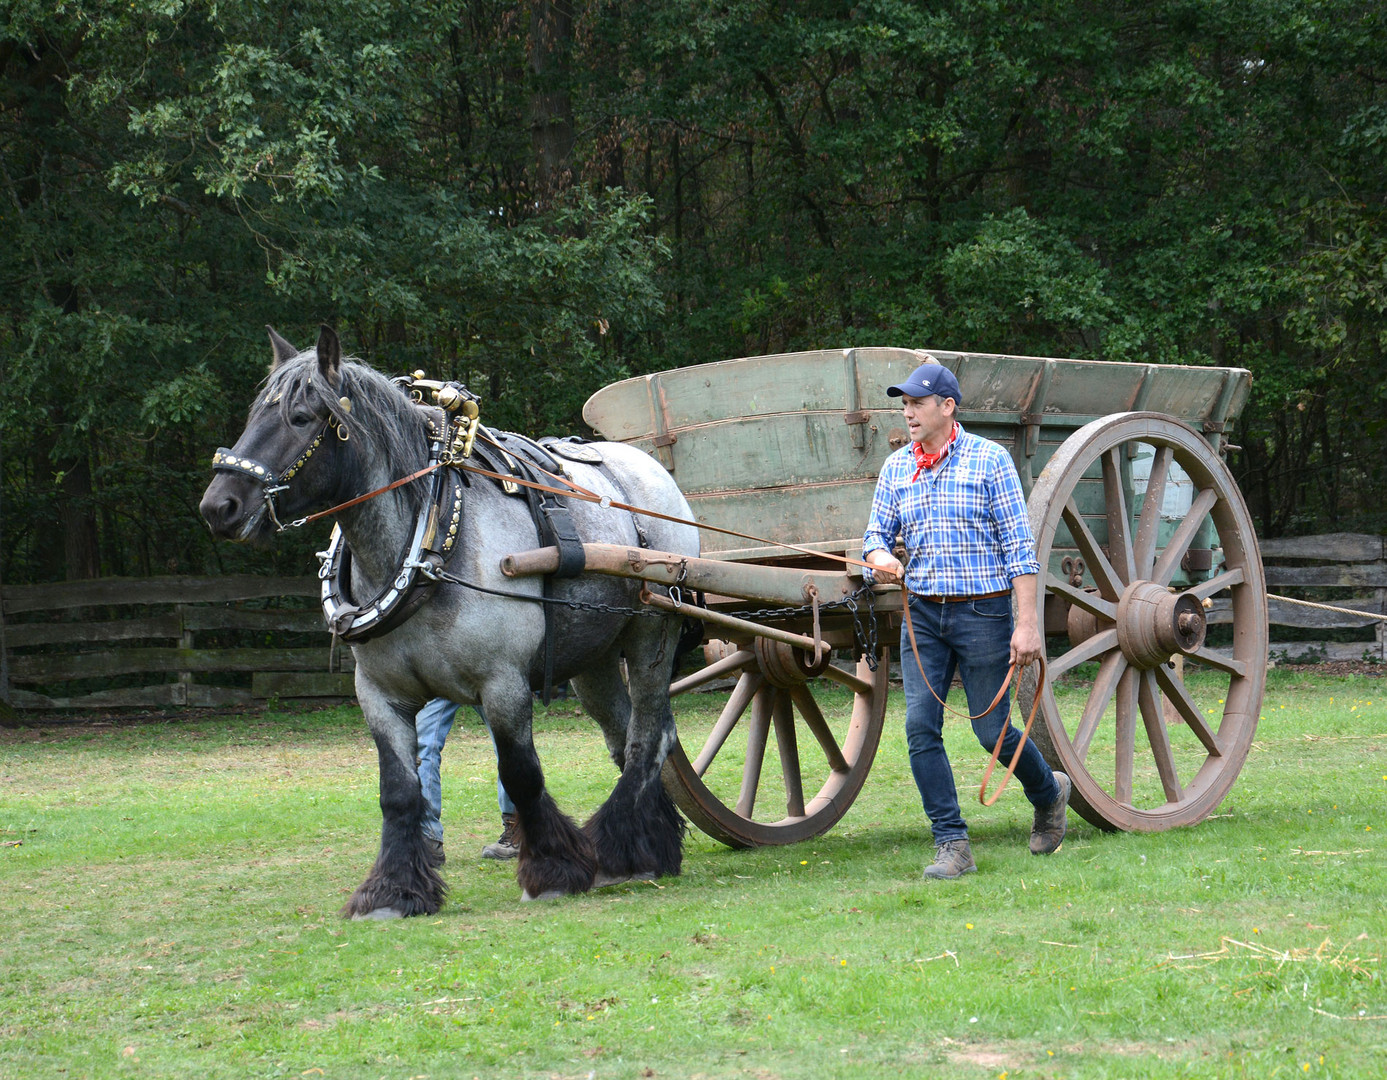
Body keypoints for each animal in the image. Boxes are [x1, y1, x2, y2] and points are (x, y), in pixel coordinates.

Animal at [201, 325, 699, 915]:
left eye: (300, 418)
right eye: (254, 414)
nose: (218, 507)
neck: (431, 540)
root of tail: (650, 470)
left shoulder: (503, 685)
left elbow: (521, 774)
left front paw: (552, 869)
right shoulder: (379, 695)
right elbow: (398, 790)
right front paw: (392, 890)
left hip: (651, 635)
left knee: (649, 738)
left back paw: (622, 847)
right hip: (594, 660)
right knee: (631, 738)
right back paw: (646, 847)